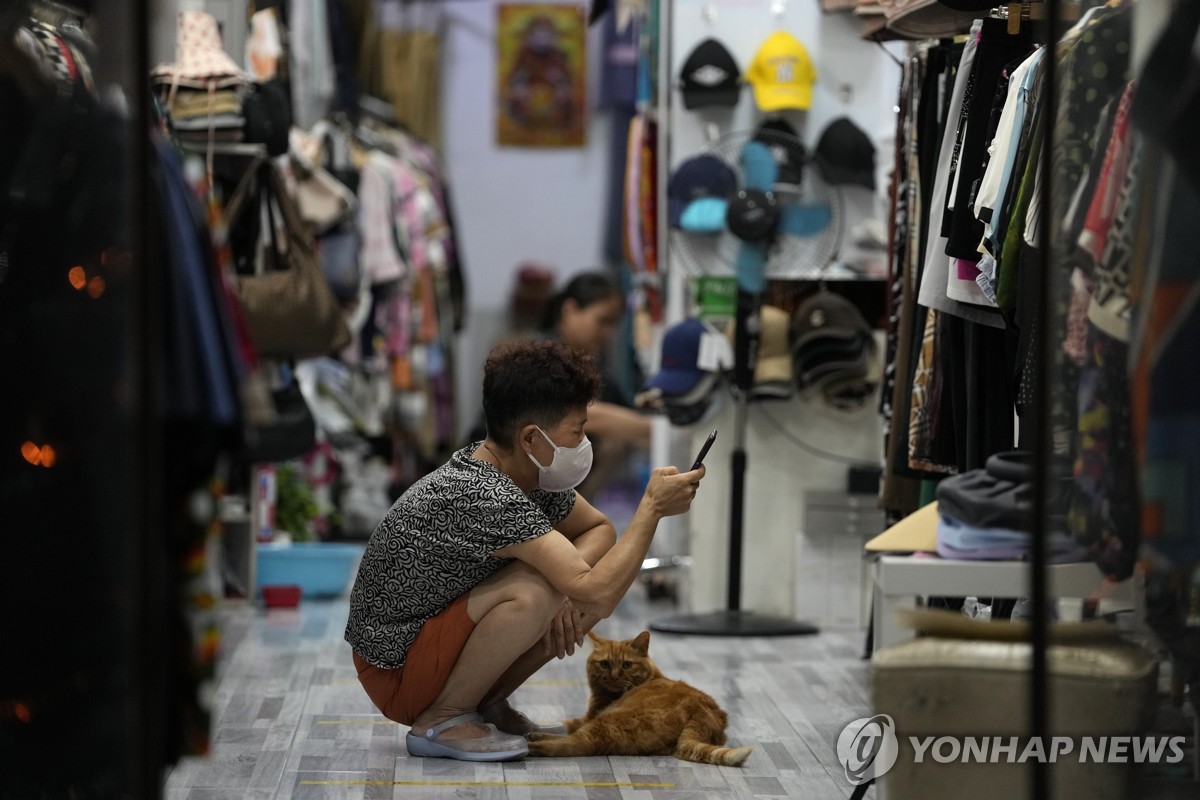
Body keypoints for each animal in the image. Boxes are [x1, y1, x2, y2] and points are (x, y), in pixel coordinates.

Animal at [528, 628, 748, 767]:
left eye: (627, 665)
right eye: (605, 664)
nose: (614, 676)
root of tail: (700, 713)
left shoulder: (592, 716)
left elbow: (567, 725)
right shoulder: (588, 716)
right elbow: (563, 724)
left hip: (609, 722)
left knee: (576, 743)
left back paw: (531, 745)